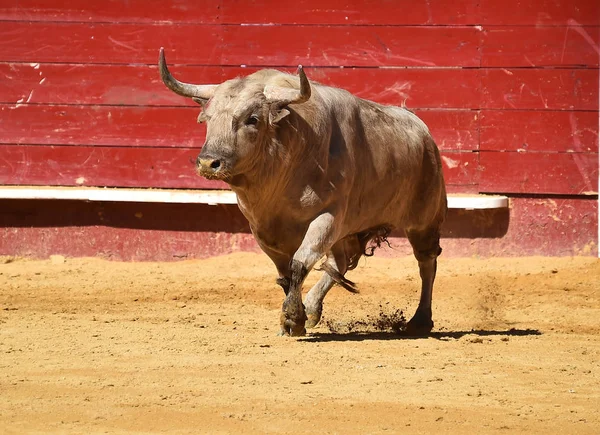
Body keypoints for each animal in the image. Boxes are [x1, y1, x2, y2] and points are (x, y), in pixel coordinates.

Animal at [159, 48, 446, 338]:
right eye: (207, 119)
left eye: (252, 119)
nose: (209, 162)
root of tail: (423, 131)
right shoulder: (261, 229)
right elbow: (286, 274)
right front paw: (296, 318)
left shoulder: (328, 217)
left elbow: (299, 264)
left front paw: (292, 318)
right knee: (340, 263)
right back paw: (313, 308)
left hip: (425, 219)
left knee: (427, 262)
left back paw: (420, 320)